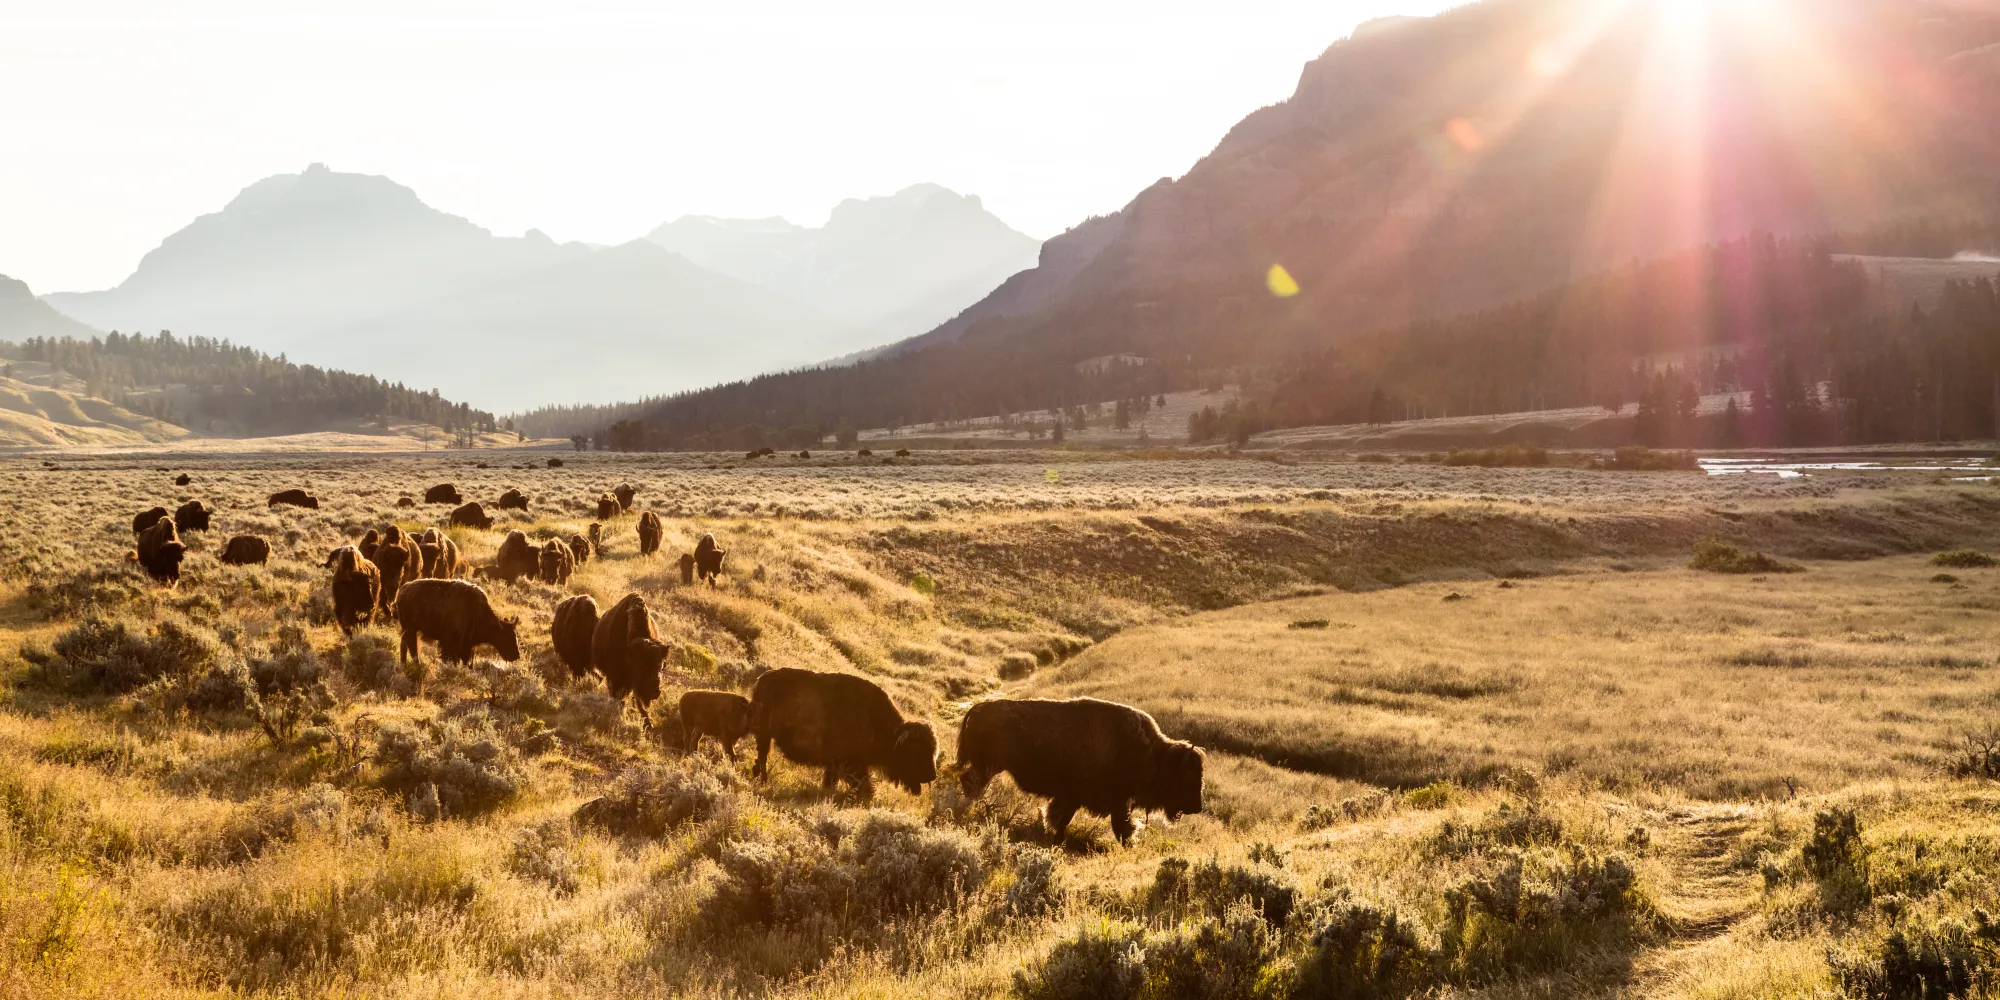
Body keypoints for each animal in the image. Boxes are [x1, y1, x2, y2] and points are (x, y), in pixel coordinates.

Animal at [749, 667, 937, 796]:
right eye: (917, 751)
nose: (931, 776)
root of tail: (761, 680)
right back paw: (762, 780)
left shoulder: (836, 762)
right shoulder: (848, 762)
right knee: (763, 757)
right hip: (764, 735)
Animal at [955, 698, 1204, 845]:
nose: (1197, 807)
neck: (1152, 754)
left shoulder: (1091, 799)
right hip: (988, 766)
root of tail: (979, 707)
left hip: (989, 767)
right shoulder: (1095, 798)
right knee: (970, 782)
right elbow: (1116, 825)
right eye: (1186, 777)